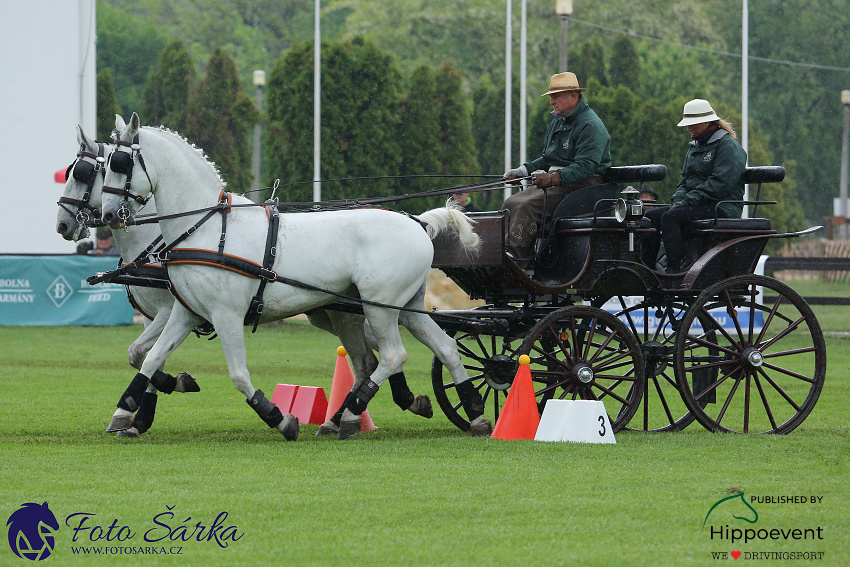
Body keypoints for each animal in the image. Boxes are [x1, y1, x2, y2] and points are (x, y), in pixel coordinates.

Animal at [97, 111, 490, 440]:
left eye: (119, 163)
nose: (106, 215)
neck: (206, 228)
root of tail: (417, 221)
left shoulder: (226, 315)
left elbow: (238, 375)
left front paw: (280, 418)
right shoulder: (185, 312)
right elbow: (150, 358)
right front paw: (126, 410)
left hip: (380, 306)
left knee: (393, 356)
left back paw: (354, 412)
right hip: (406, 306)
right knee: (444, 347)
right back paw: (474, 413)